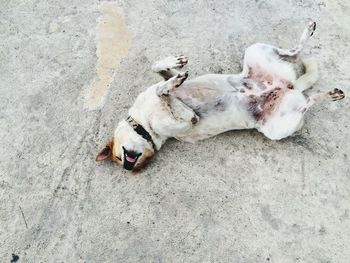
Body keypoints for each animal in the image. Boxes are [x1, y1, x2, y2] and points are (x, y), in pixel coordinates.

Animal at [95, 21, 344, 172]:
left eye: (118, 158)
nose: (129, 168)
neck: (143, 122)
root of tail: (289, 86)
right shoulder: (189, 118)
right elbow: (164, 91)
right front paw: (170, 86)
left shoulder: (161, 90)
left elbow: (159, 72)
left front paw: (174, 66)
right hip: (275, 128)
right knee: (307, 101)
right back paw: (330, 95)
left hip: (255, 51)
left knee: (293, 52)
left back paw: (309, 31)